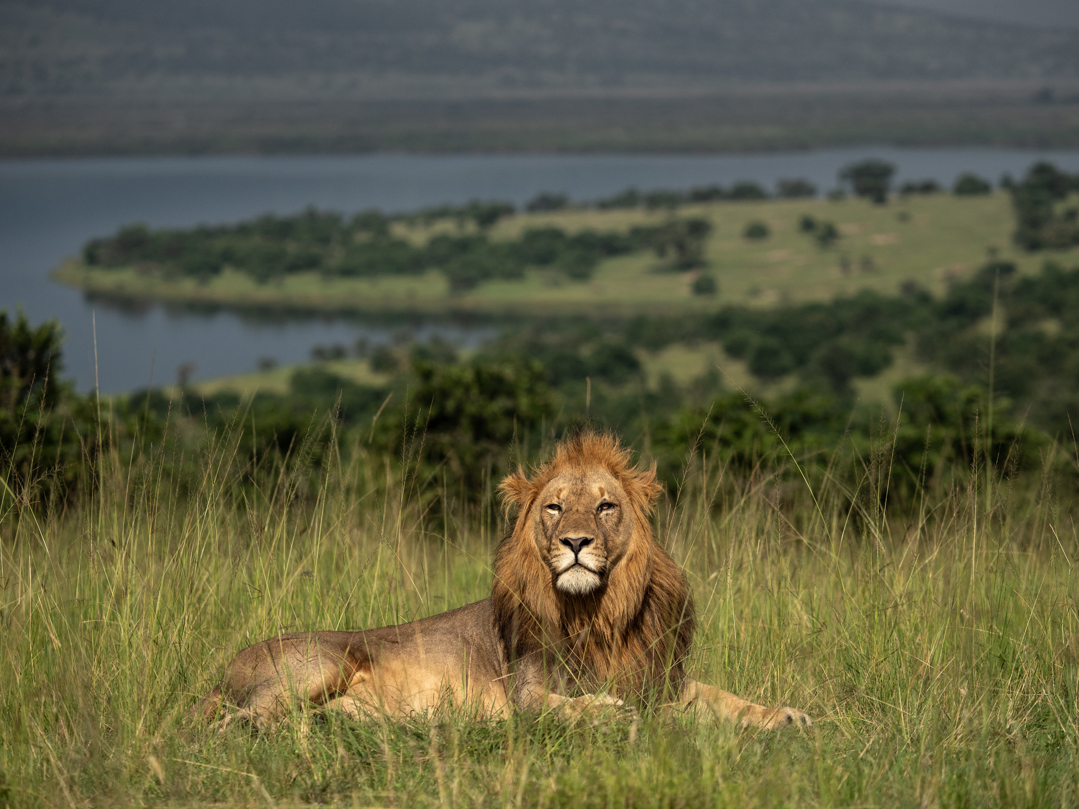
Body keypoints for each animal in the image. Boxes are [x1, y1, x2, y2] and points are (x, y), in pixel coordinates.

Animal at [192, 432, 811, 731]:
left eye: (605, 506)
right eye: (555, 508)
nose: (576, 542)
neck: (600, 614)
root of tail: (224, 669)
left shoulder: (659, 680)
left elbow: (722, 697)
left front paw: (784, 716)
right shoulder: (525, 693)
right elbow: (560, 705)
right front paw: (607, 713)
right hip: (324, 661)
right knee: (242, 720)